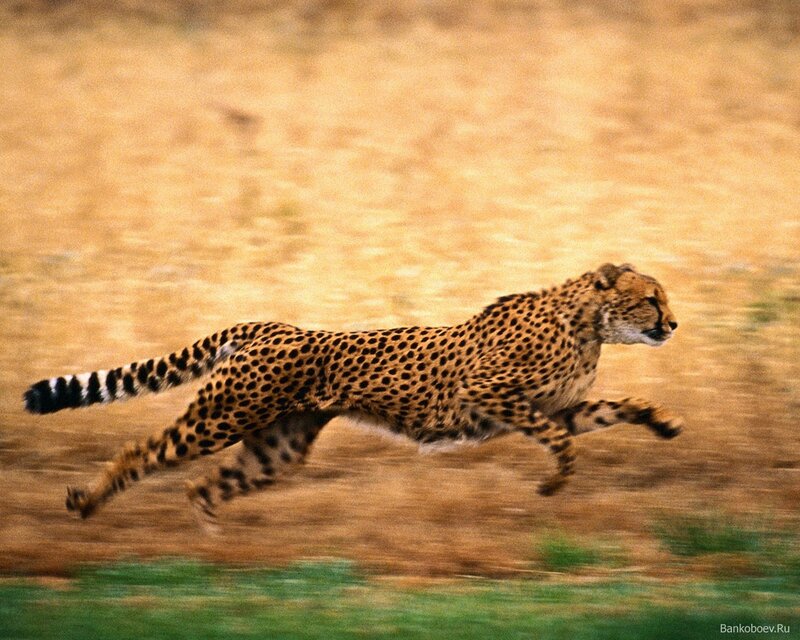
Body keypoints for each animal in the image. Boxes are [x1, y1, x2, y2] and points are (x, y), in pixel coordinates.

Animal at [23, 262, 682, 528]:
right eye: (651, 298)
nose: (673, 324)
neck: (589, 323)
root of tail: (271, 326)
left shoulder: (560, 407)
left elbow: (617, 408)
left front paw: (665, 422)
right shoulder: (485, 392)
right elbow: (558, 443)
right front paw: (553, 482)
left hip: (278, 447)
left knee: (202, 485)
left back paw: (214, 544)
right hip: (221, 417)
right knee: (144, 451)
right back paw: (87, 503)